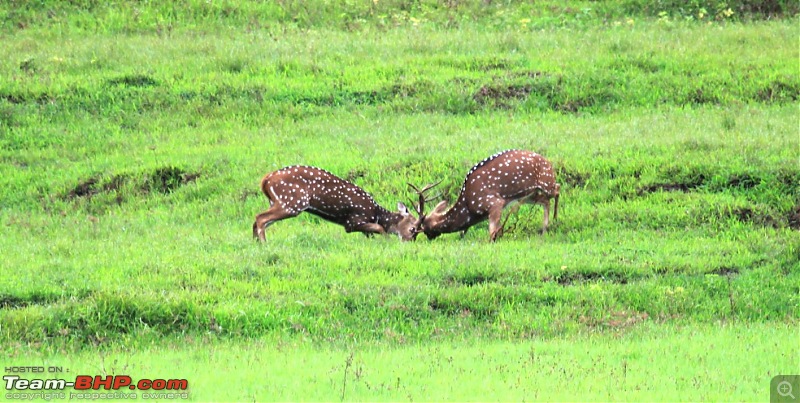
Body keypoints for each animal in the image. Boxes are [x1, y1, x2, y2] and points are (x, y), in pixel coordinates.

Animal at [255, 166, 418, 241]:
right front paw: (386, 241)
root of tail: (265, 180)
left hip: (276, 201)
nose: (409, 241)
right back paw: (264, 244)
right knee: (260, 218)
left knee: (258, 221)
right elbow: (380, 229)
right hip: (291, 203)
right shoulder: (353, 221)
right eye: (413, 229)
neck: (376, 214)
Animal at [412, 150, 564, 241]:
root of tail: (549, 162)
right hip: (529, 194)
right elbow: (494, 231)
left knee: (557, 188)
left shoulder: (494, 202)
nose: (429, 238)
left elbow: (491, 234)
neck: (470, 207)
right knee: (545, 200)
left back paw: (555, 219)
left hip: (545, 182)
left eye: (425, 229)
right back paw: (544, 229)